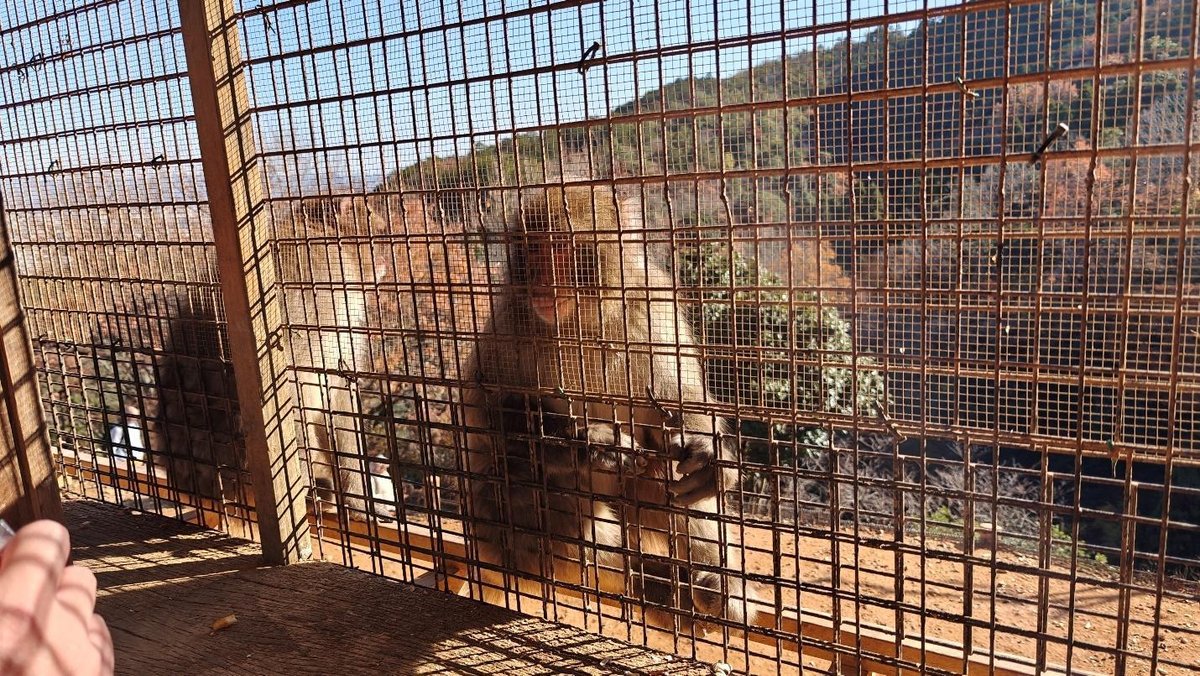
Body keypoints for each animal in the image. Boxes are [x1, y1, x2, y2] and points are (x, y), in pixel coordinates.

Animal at [459, 184, 758, 630]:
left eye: (560, 248)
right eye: (532, 249)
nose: (542, 284)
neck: (582, 323)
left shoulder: (652, 308)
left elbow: (679, 397)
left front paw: (709, 449)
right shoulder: (511, 323)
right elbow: (488, 409)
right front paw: (592, 443)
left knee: (665, 467)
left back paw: (714, 586)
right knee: (517, 479)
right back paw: (628, 572)